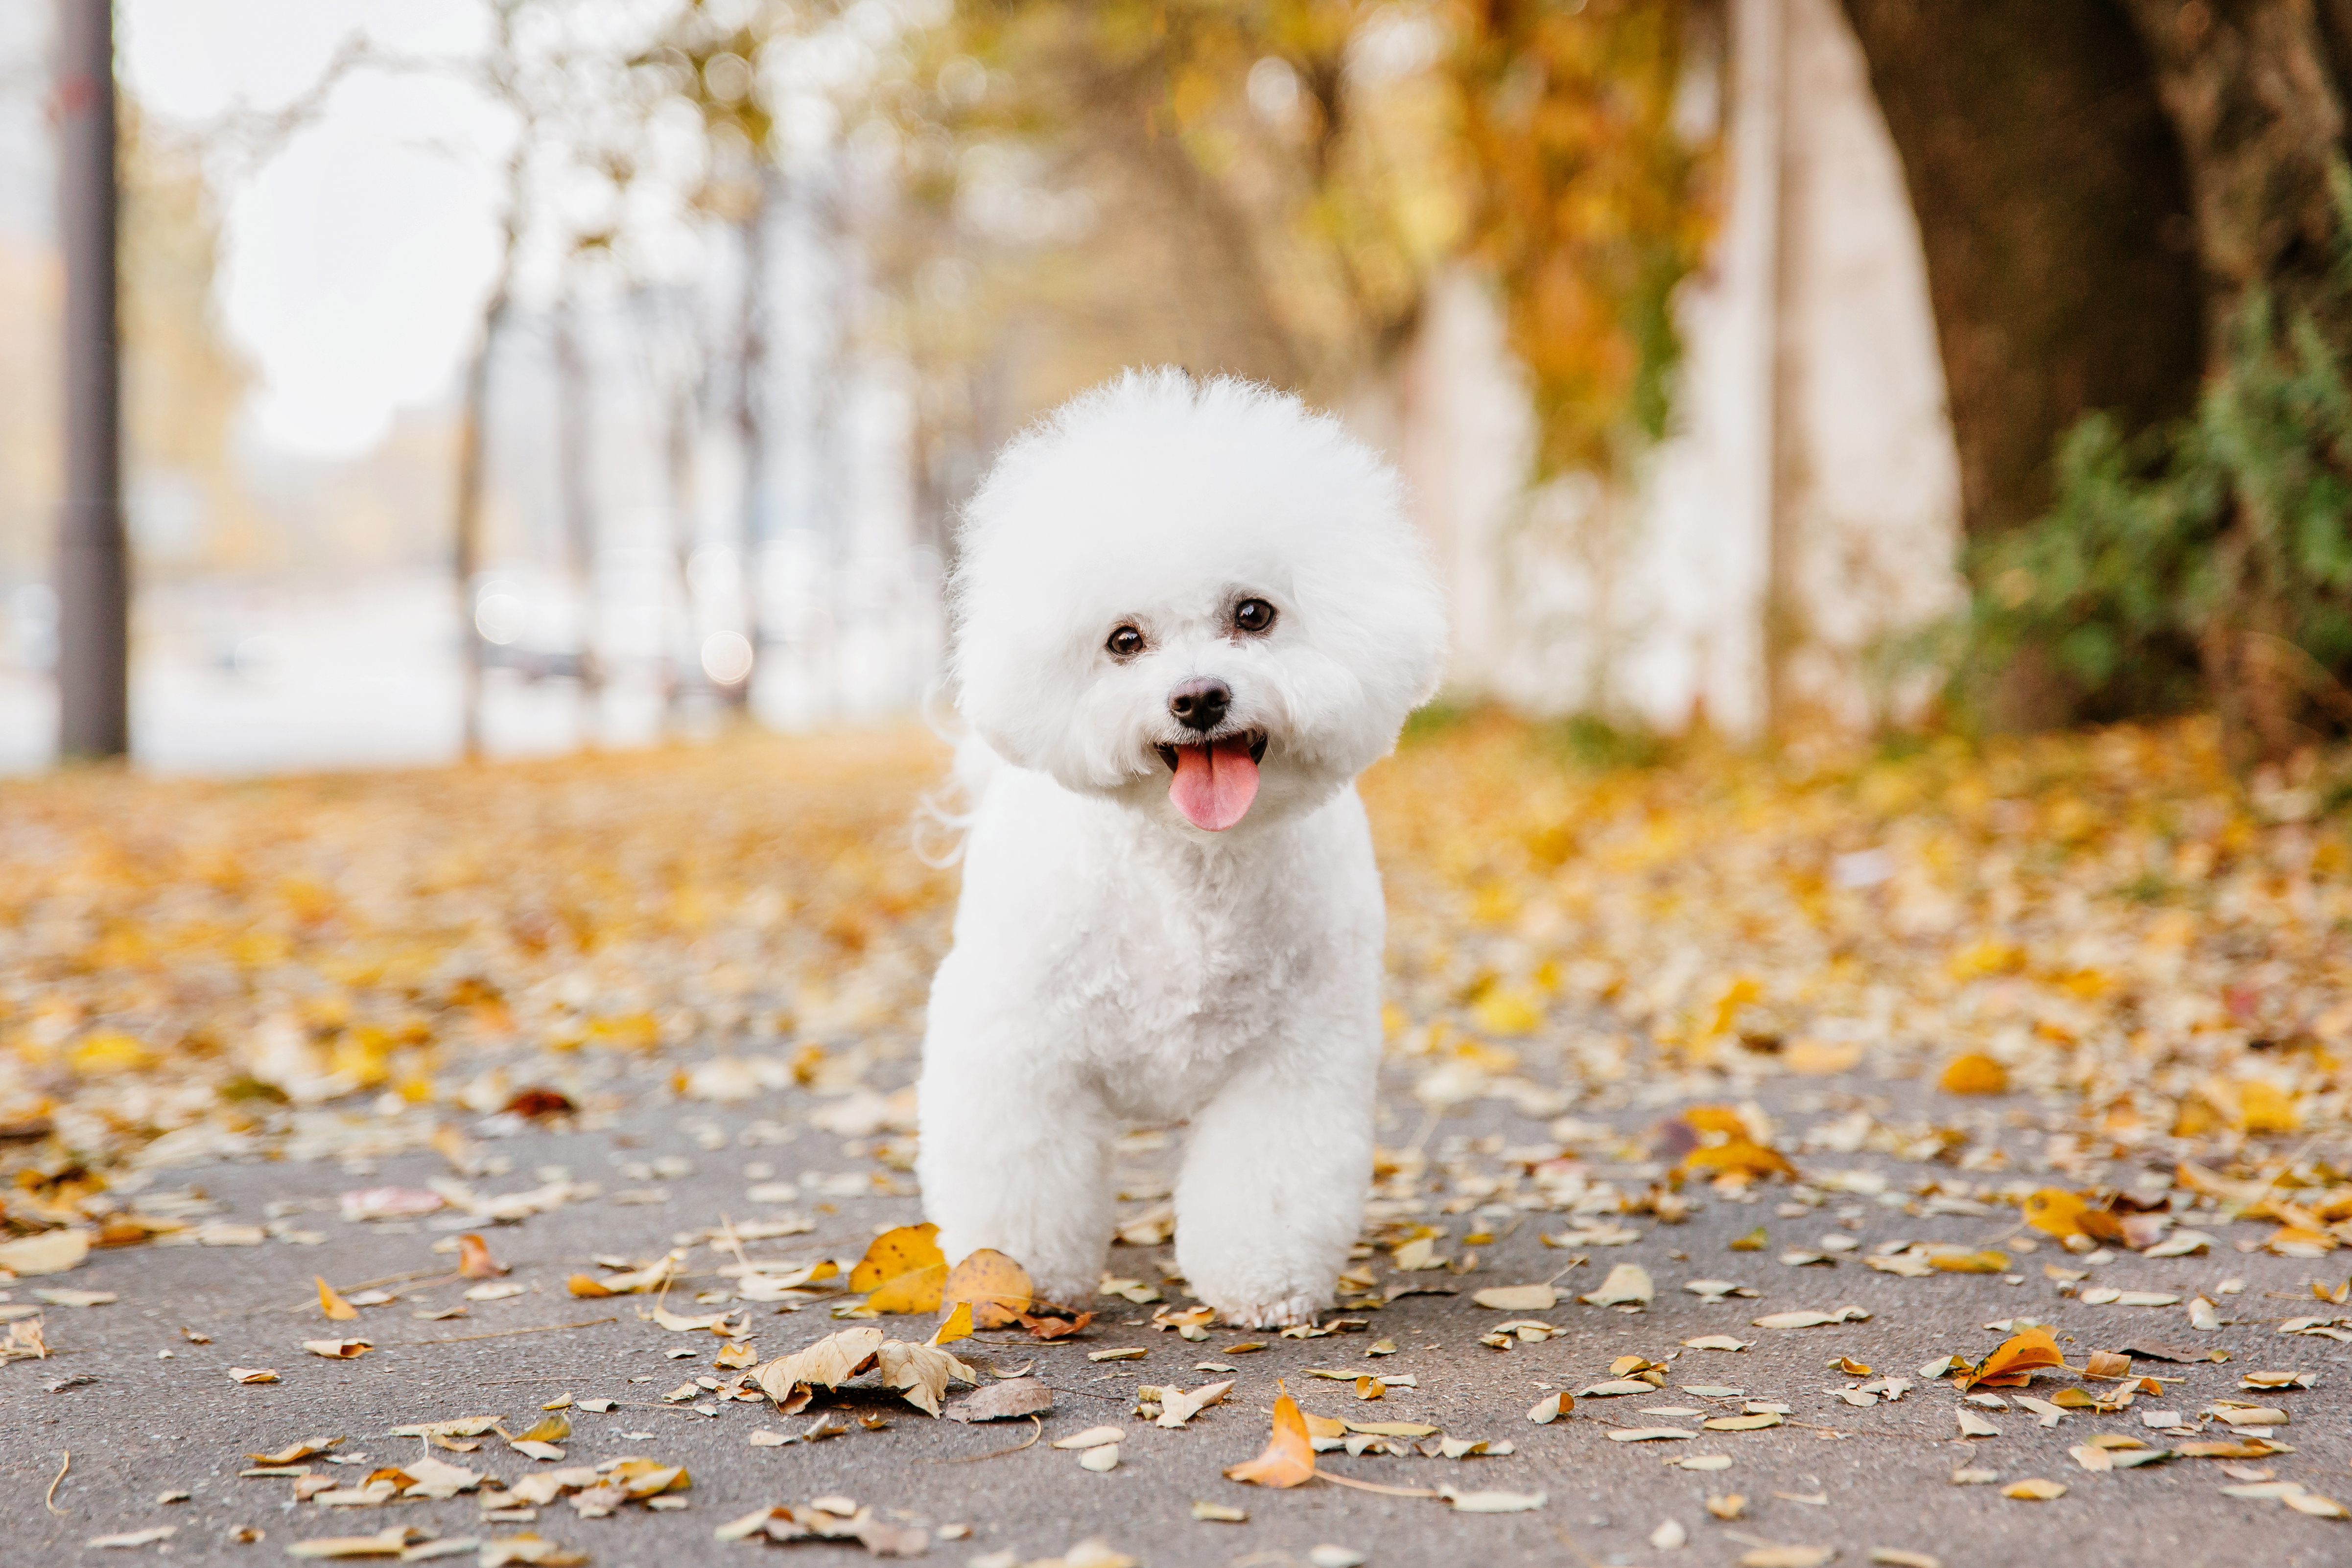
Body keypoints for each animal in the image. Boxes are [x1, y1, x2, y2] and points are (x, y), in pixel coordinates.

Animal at [908, 374, 1439, 1335]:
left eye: (1253, 614)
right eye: (1124, 640)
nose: (1198, 697)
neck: (1191, 869)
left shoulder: (1295, 1057)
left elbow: (1270, 1182)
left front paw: (1261, 1283)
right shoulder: (1019, 1046)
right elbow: (1019, 1173)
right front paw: (1018, 1277)